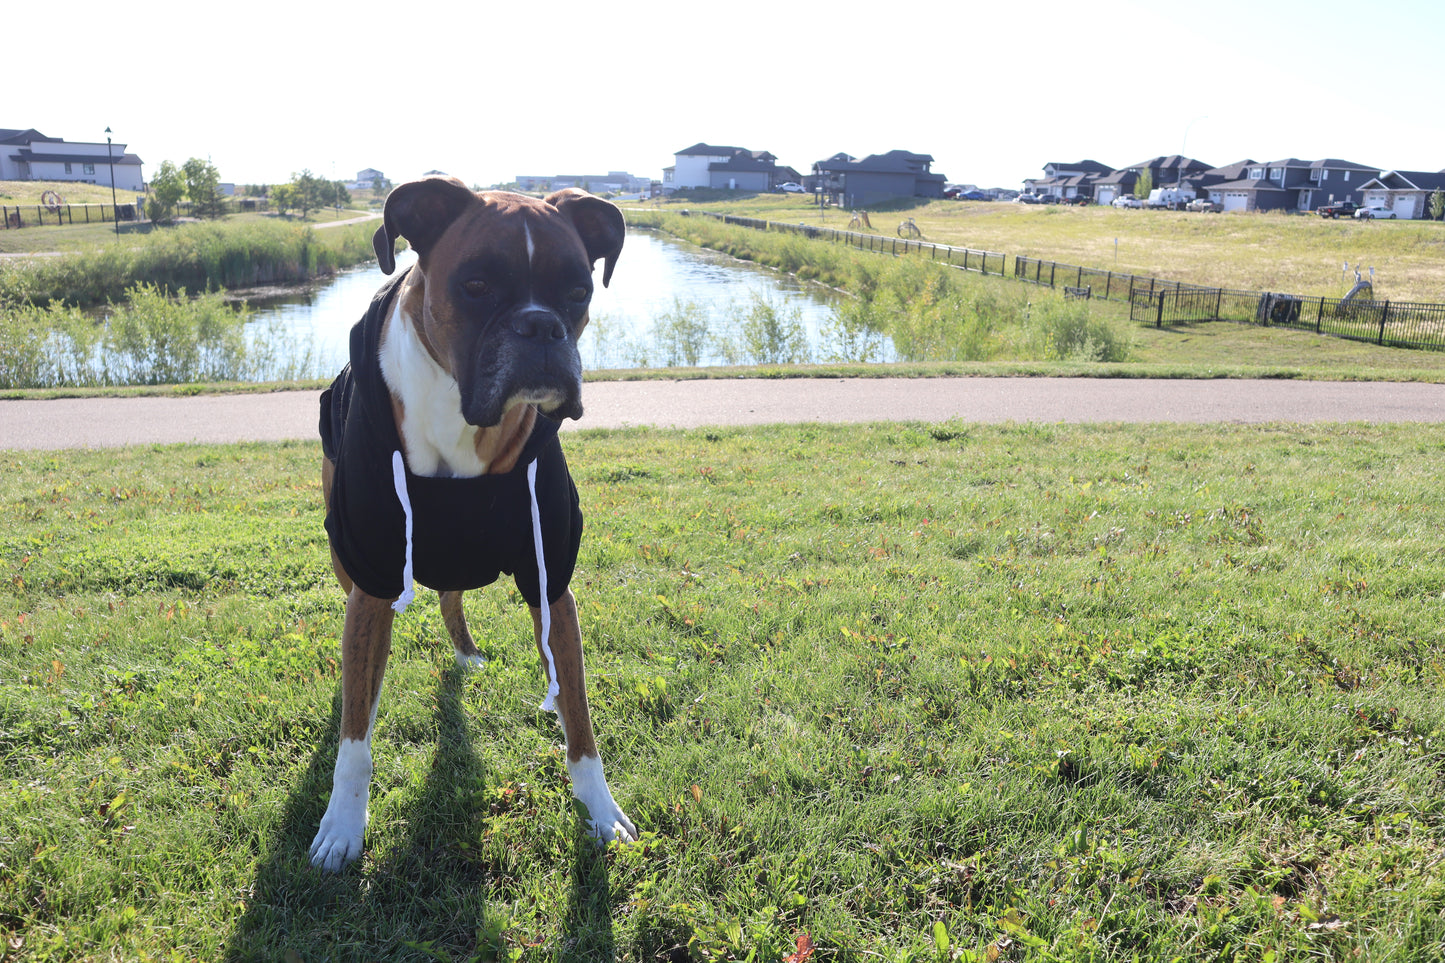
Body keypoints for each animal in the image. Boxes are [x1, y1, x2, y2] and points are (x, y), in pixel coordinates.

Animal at [313, 174, 635, 867]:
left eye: (578, 292)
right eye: (477, 285)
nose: (541, 327)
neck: (462, 420)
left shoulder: (549, 578)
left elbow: (579, 716)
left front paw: (600, 811)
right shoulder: (371, 580)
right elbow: (355, 739)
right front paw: (341, 827)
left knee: (451, 596)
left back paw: (464, 655)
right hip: (348, 563)